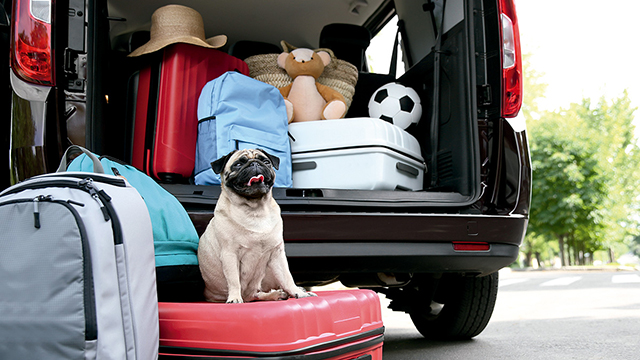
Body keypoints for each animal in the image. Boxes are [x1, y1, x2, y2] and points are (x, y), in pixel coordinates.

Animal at [196, 148, 314, 302]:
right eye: (238, 164)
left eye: (266, 161)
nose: (255, 163)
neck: (255, 209)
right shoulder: (229, 254)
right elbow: (234, 280)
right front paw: (234, 298)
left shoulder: (277, 253)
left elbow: (287, 277)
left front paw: (297, 292)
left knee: (256, 294)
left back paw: (277, 294)